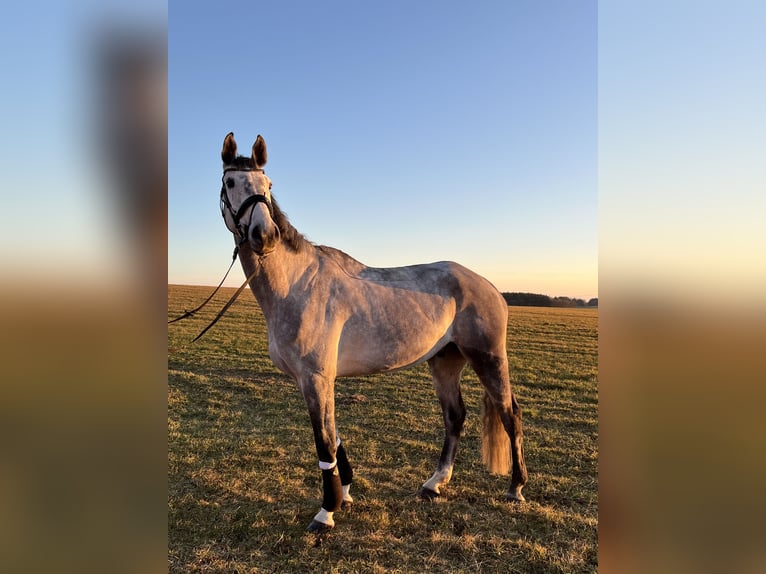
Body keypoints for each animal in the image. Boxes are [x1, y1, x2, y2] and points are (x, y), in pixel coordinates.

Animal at [216, 133, 528, 532]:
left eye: (268, 185)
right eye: (230, 182)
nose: (265, 235)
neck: (297, 283)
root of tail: (488, 285)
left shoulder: (316, 377)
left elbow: (323, 442)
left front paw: (326, 512)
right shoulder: (314, 380)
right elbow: (333, 436)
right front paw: (345, 494)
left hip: (487, 358)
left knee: (510, 414)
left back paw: (515, 488)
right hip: (445, 362)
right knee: (455, 416)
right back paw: (434, 483)